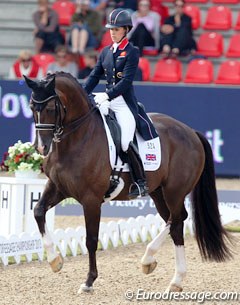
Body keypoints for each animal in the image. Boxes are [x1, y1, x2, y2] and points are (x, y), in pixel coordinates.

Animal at [23, 72, 232, 294]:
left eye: (51, 108)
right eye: (31, 107)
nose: (42, 147)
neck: (76, 139)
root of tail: (191, 132)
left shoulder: (91, 200)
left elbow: (91, 240)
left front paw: (89, 281)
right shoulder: (58, 187)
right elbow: (38, 211)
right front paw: (55, 261)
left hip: (174, 191)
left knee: (176, 219)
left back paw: (153, 262)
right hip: (158, 192)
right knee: (175, 223)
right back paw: (171, 277)